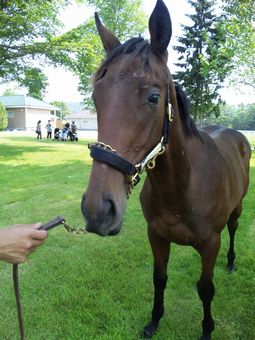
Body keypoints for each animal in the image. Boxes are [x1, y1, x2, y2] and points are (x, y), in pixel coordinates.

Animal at [81, 1, 251, 338]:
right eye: (96, 97)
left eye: (154, 97)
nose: (98, 211)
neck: (182, 186)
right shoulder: (156, 236)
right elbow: (159, 279)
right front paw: (154, 321)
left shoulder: (210, 244)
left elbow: (205, 288)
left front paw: (207, 329)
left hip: (237, 210)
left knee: (234, 229)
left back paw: (231, 263)